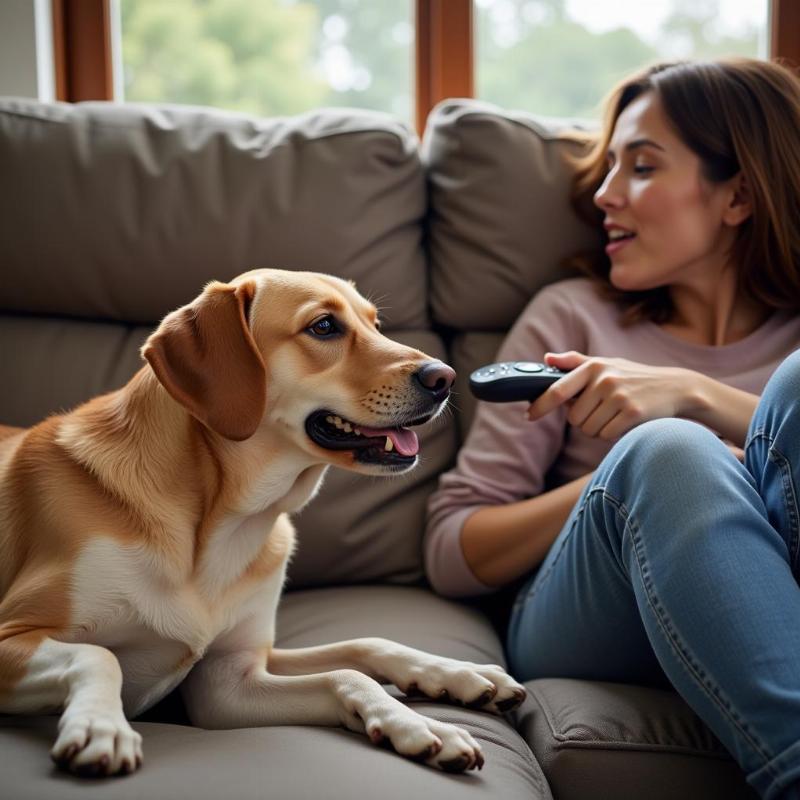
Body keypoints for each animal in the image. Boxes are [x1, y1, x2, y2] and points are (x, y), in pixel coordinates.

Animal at [0, 268, 524, 776]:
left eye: (376, 325)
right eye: (324, 326)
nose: (446, 378)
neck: (219, 524)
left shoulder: (231, 681)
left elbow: (357, 654)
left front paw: (446, 687)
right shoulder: (12, 633)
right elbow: (99, 654)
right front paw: (100, 727)